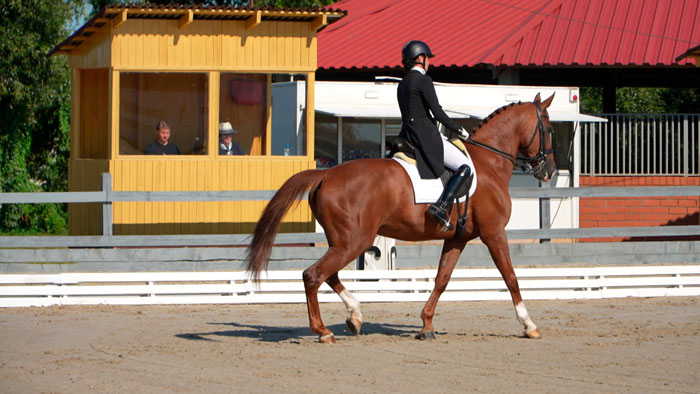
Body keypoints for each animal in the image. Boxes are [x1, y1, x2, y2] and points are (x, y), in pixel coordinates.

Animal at [246, 92, 556, 342]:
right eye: (550, 128)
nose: (550, 171)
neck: (489, 163)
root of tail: (326, 174)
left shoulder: (458, 238)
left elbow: (442, 279)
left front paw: (426, 325)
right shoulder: (494, 232)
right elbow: (511, 277)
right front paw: (529, 325)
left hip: (344, 241)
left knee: (329, 274)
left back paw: (354, 317)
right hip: (355, 241)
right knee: (313, 275)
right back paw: (324, 331)